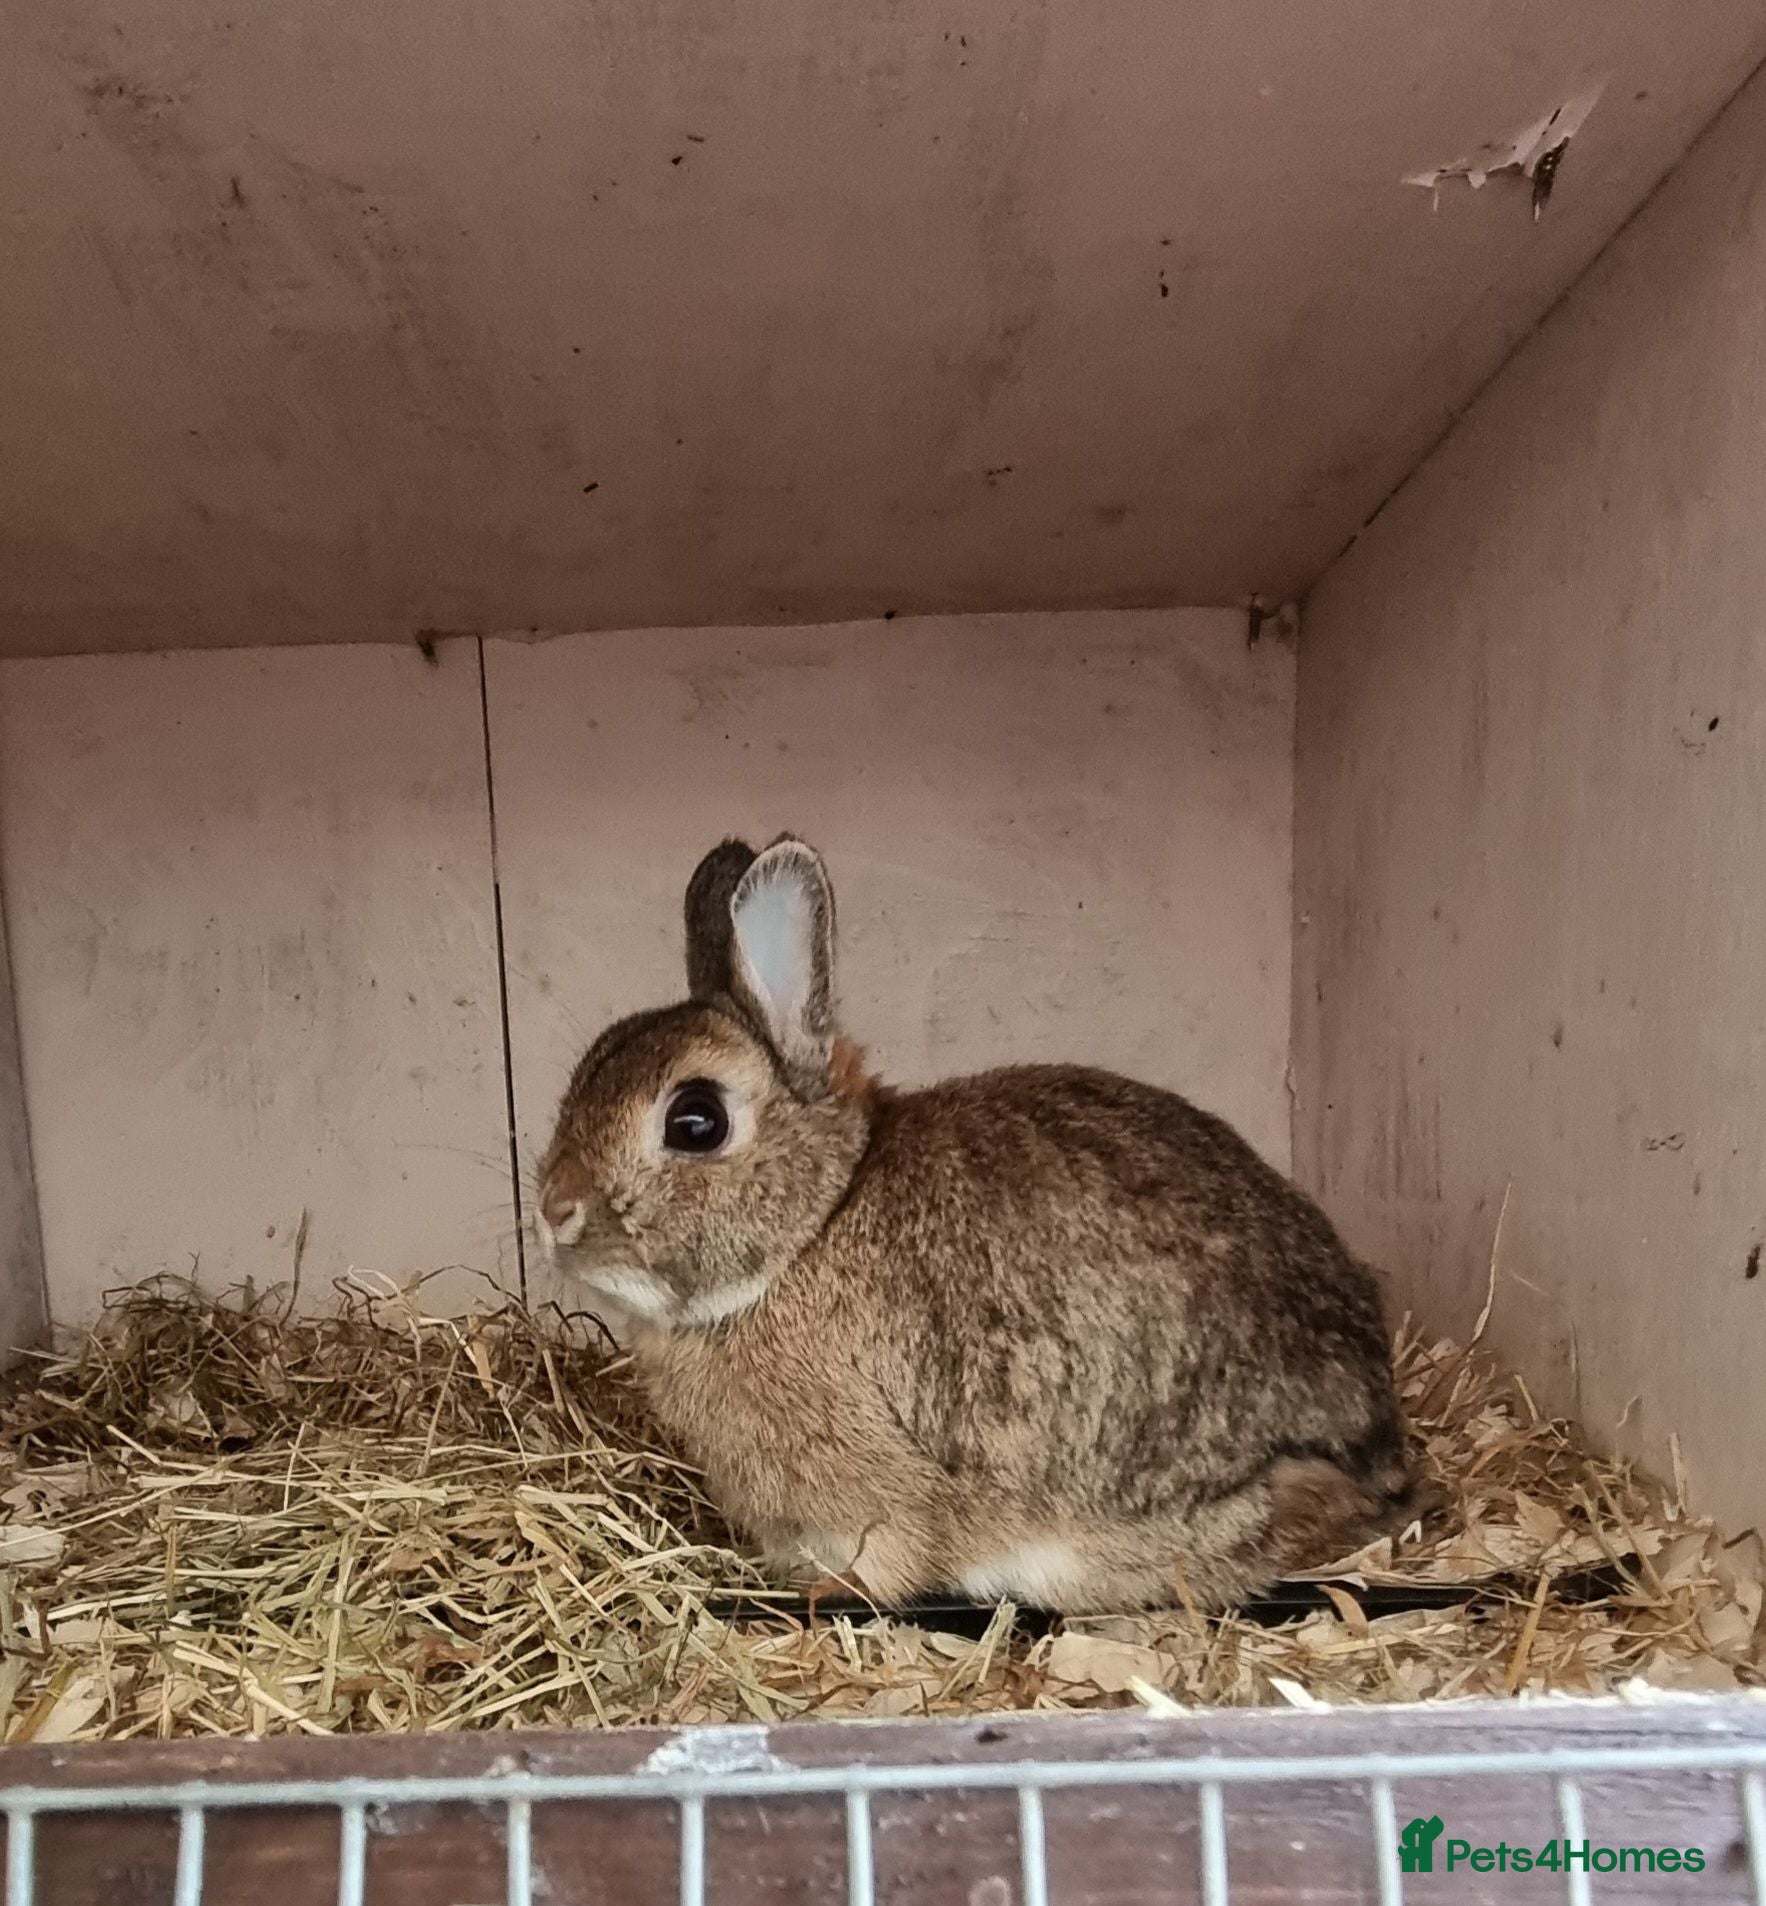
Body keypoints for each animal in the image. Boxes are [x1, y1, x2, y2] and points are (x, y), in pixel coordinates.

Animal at [534, 834, 1428, 1612]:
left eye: (696, 1121)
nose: (553, 1211)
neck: (816, 1222)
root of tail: (1380, 1450)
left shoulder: (889, 1499)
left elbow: (889, 1562)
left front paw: (821, 1594)